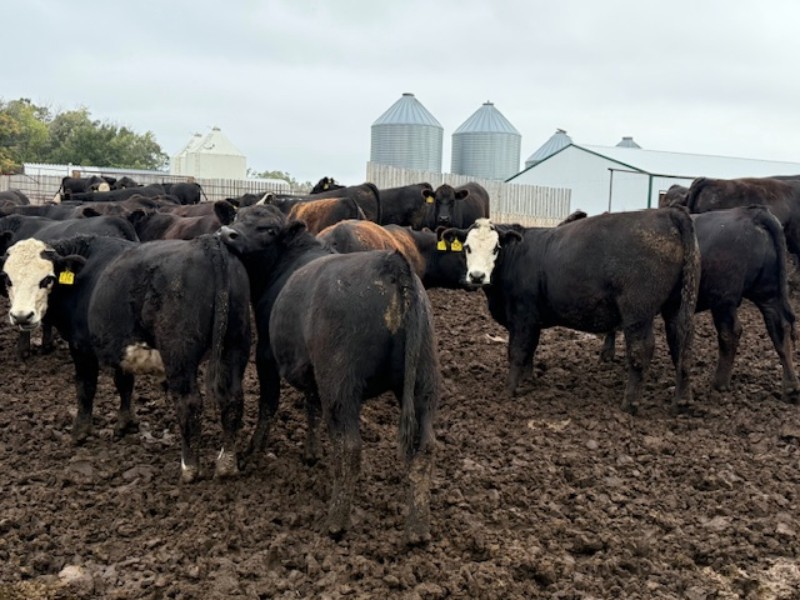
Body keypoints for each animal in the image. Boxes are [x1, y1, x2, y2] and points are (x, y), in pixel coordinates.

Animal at [1, 234, 251, 482]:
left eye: (47, 279)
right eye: (8, 279)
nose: (21, 316)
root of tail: (207, 244)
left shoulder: (81, 347)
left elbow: (85, 388)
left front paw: (80, 432)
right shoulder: (119, 346)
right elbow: (124, 384)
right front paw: (125, 423)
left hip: (179, 354)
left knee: (189, 403)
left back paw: (189, 468)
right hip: (235, 346)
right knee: (232, 398)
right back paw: (227, 464)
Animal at [220, 204, 440, 544]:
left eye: (268, 229)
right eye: (236, 217)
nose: (227, 233)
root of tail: (391, 264)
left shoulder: (267, 355)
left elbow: (269, 403)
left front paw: (253, 449)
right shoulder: (312, 371)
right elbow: (312, 405)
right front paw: (312, 452)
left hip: (341, 385)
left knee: (350, 448)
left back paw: (336, 521)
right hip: (422, 385)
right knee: (424, 448)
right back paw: (418, 529)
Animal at [441, 209, 701, 414]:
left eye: (495, 248)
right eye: (467, 248)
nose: (477, 276)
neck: (517, 256)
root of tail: (668, 212)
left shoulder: (522, 316)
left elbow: (517, 351)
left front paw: (510, 389)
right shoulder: (533, 320)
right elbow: (530, 351)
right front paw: (528, 380)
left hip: (638, 313)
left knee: (641, 350)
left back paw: (630, 403)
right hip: (676, 308)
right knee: (682, 346)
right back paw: (683, 401)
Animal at [595, 206, 799, 402]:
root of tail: (751, 213)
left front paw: (607, 353)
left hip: (723, 298)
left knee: (730, 332)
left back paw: (719, 382)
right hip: (767, 292)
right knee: (779, 327)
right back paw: (790, 387)